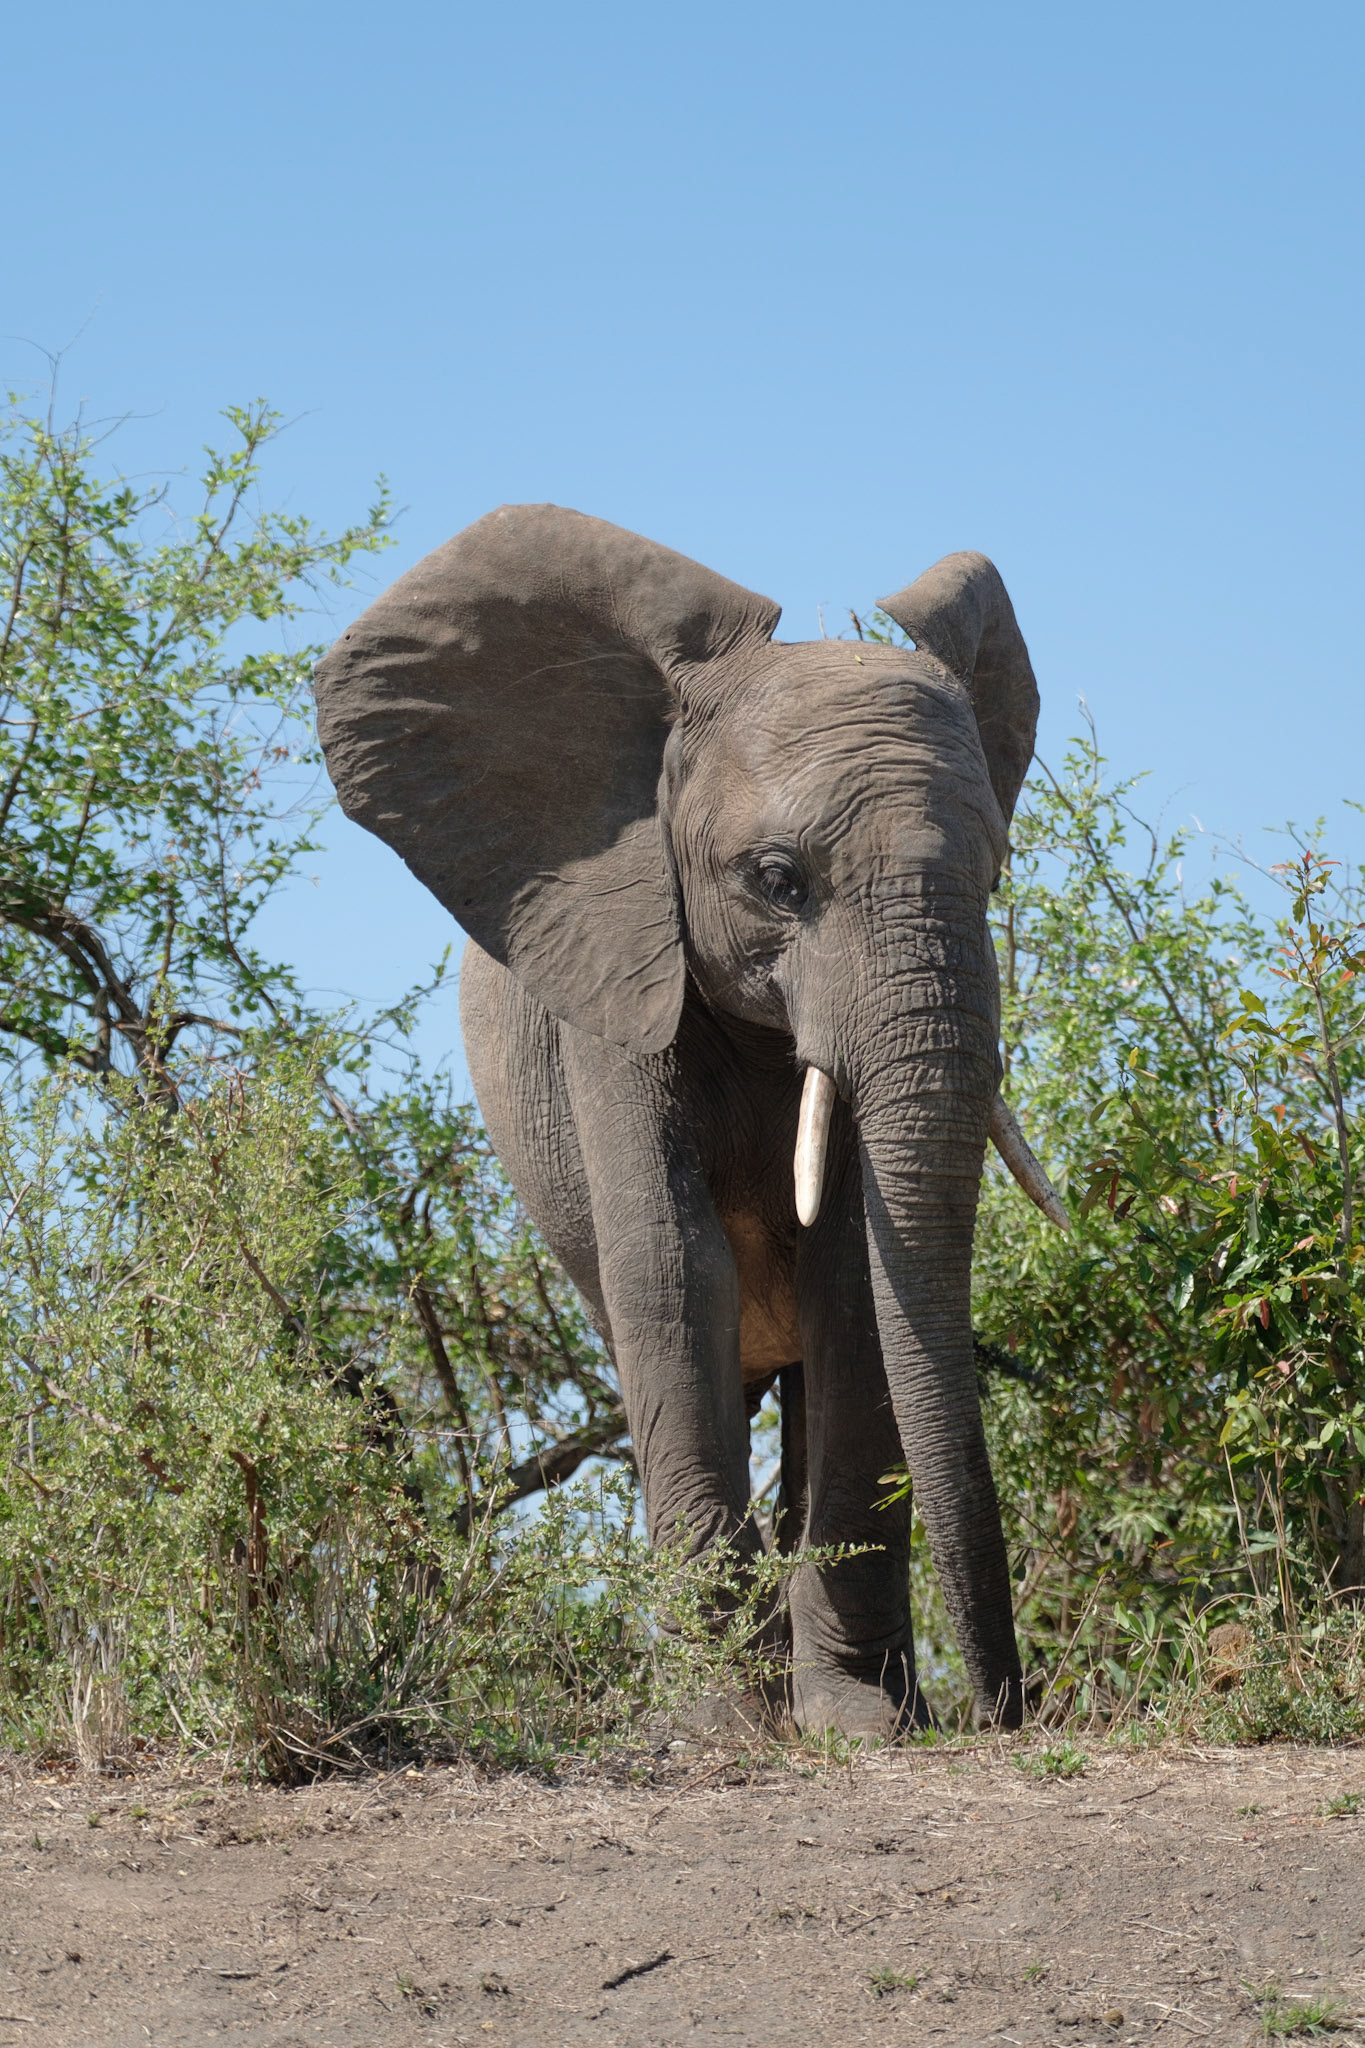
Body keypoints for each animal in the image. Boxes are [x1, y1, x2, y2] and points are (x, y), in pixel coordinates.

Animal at [314, 504, 1067, 1739]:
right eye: (777, 877)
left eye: (995, 870)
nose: (1010, 1707)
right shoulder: (616, 967)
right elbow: (673, 1269)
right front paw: (728, 1727)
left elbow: (854, 1281)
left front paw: (859, 1725)